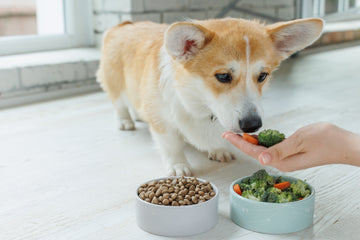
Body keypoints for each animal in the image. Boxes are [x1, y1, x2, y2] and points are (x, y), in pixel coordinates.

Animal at [97, 17, 324, 175]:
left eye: (262, 76)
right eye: (223, 76)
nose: (252, 125)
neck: (198, 101)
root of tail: (124, 25)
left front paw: (218, 150)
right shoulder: (162, 119)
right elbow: (171, 145)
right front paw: (179, 167)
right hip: (115, 83)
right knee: (119, 104)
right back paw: (126, 121)